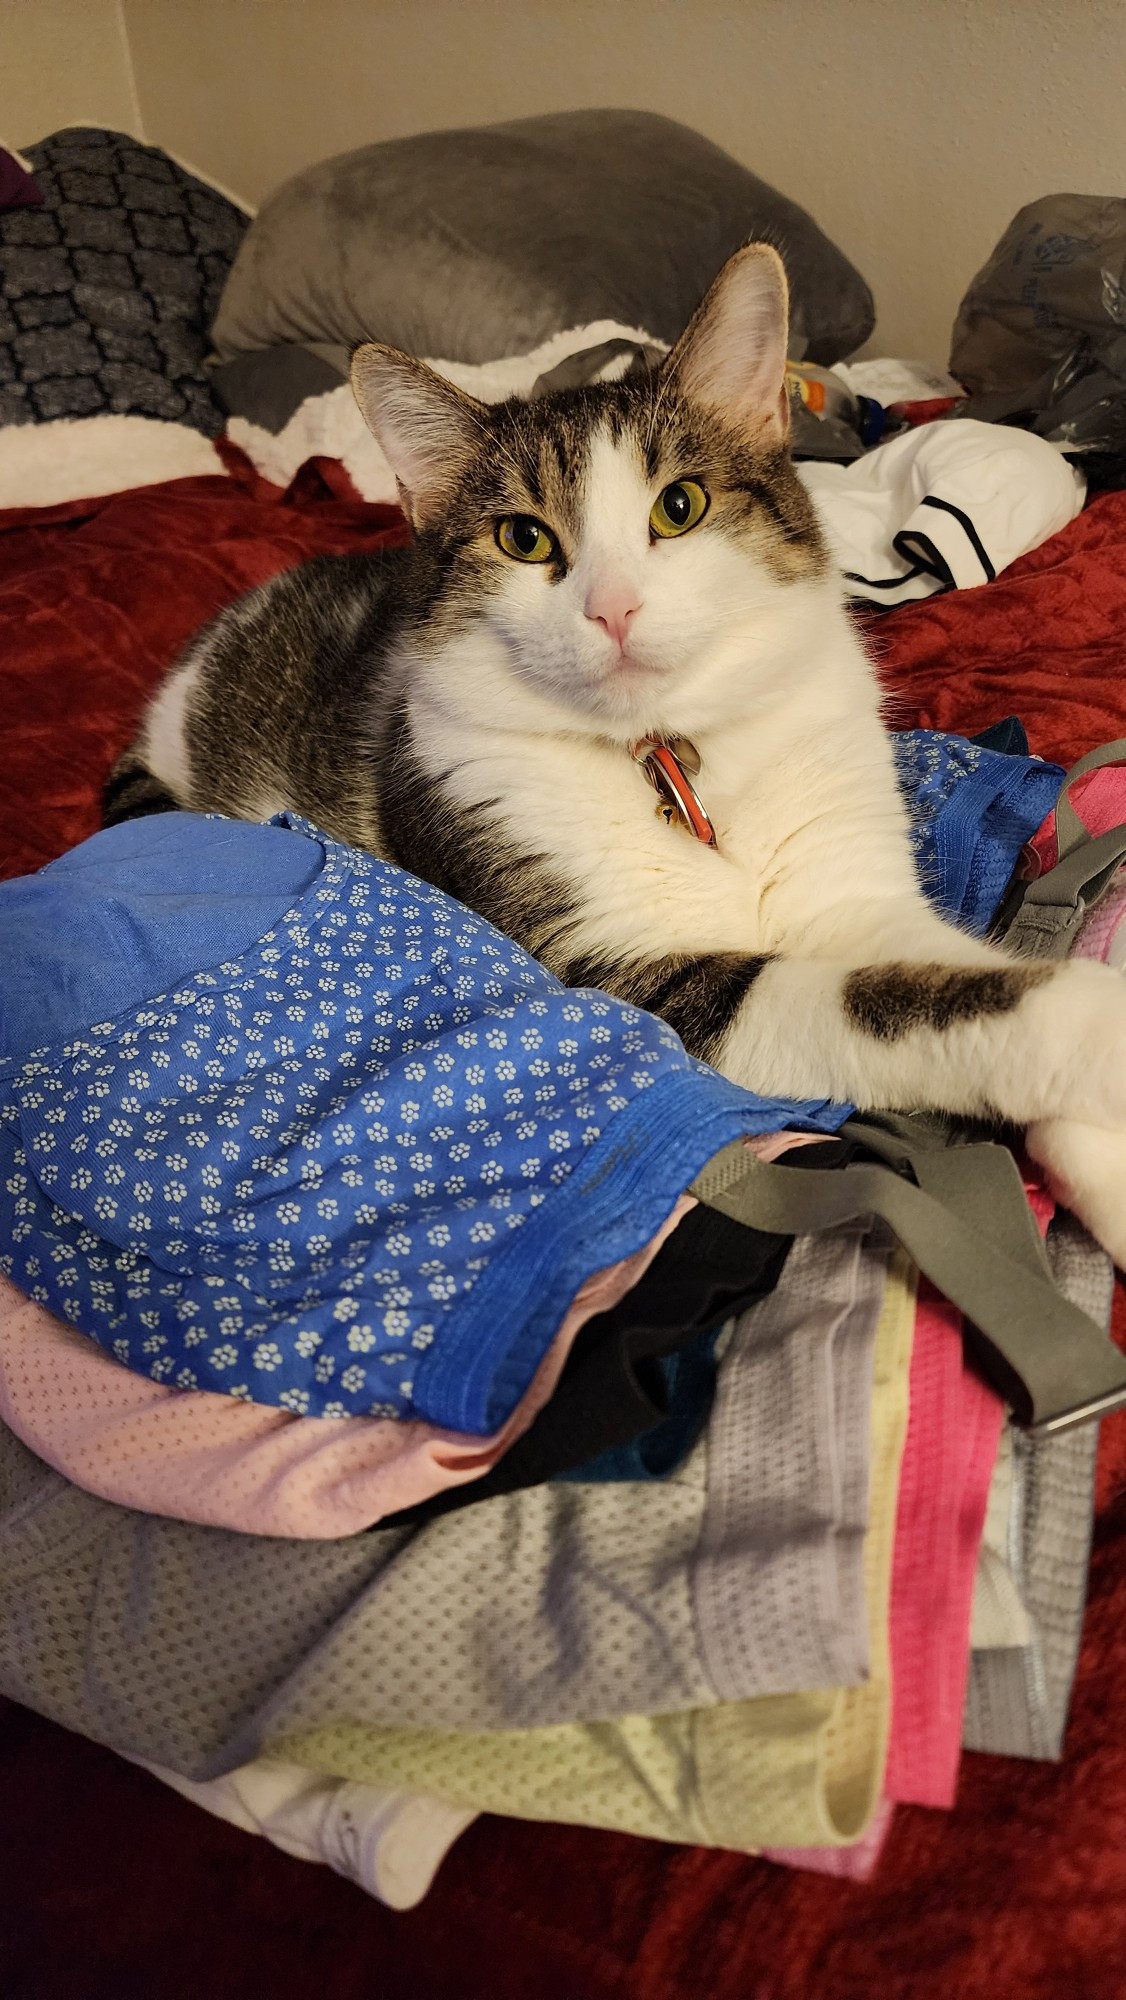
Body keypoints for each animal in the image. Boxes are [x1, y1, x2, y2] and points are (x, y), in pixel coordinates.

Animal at [103, 242, 1126, 1256]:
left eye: (680, 505)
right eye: (523, 537)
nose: (613, 607)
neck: (673, 756)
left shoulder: (857, 893)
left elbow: (952, 979)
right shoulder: (645, 981)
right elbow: (911, 1003)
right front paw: (1097, 1032)